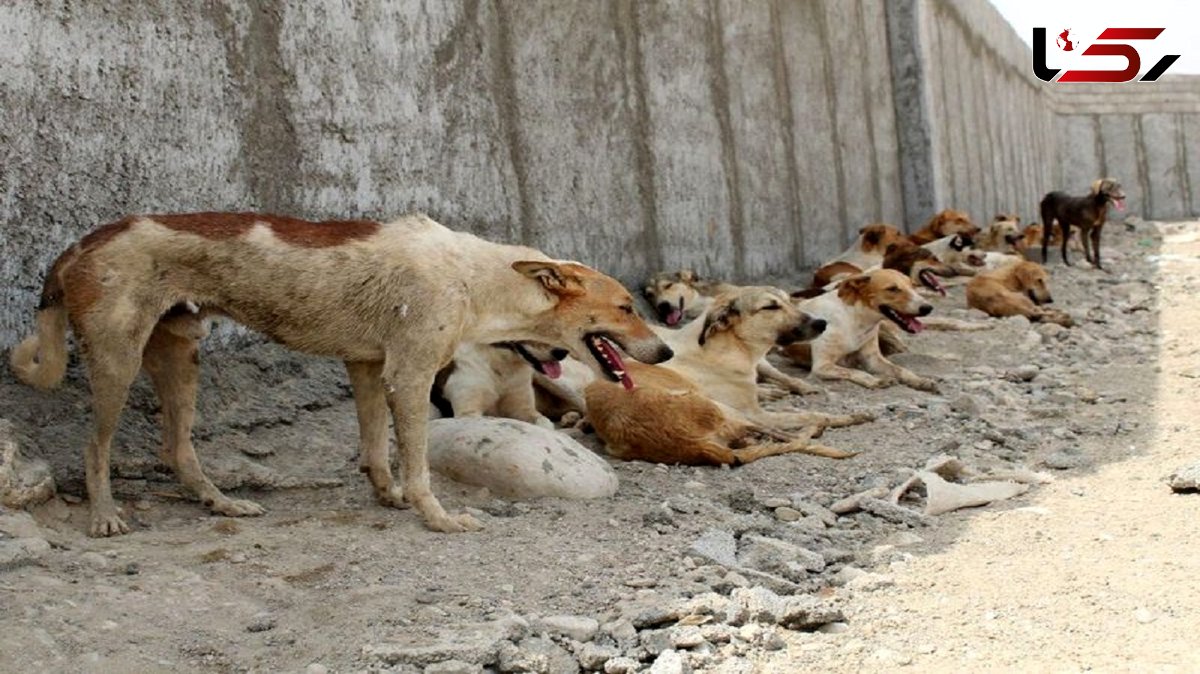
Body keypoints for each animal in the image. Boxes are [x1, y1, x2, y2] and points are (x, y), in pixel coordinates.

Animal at [11, 211, 676, 534]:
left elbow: (376, 451)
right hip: (117, 364)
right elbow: (417, 465)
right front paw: (436, 518)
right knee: (93, 448)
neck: (473, 278)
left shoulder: (367, 367)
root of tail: (79, 246)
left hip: (180, 358)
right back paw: (104, 515)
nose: (667, 355)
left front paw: (388, 497)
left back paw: (222, 505)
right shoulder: (408, 375)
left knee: (176, 448)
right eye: (625, 307)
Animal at [583, 285, 873, 465]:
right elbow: (810, 414)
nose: (821, 323)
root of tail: (693, 444)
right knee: (791, 435)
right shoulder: (756, 413)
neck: (725, 348)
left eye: (789, 300)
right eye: (770, 307)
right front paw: (846, 416)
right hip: (730, 411)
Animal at [782, 267, 940, 388]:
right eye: (892, 289)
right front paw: (875, 380)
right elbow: (855, 371)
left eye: (913, 286)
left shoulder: (873, 360)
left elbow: (900, 369)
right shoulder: (822, 366)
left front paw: (919, 380)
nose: (928, 308)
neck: (854, 319)